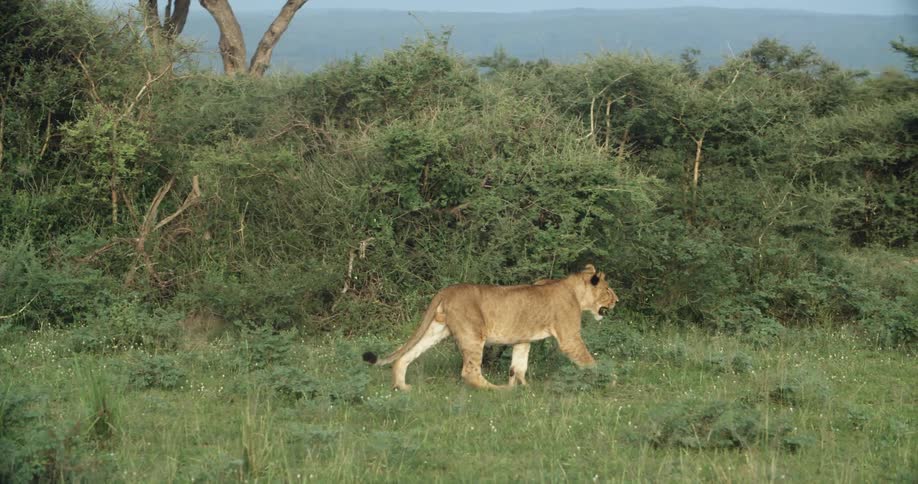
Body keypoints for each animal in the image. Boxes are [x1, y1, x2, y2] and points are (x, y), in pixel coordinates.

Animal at [362, 264, 619, 391]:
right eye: (607, 290)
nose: (617, 300)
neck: (576, 292)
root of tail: (447, 290)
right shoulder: (569, 338)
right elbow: (589, 361)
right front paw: (608, 379)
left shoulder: (523, 339)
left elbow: (519, 366)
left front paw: (524, 389)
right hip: (473, 334)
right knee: (470, 372)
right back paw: (497, 390)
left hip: (437, 330)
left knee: (404, 357)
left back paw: (402, 387)